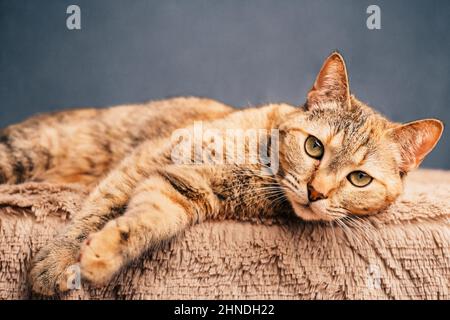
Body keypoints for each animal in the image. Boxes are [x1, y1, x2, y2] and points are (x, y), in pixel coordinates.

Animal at [1, 52, 442, 296]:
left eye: (359, 179)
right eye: (314, 147)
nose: (316, 192)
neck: (260, 167)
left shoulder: (182, 190)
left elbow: (140, 223)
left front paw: (102, 256)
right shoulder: (150, 158)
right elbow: (95, 212)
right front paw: (58, 261)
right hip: (27, 153)